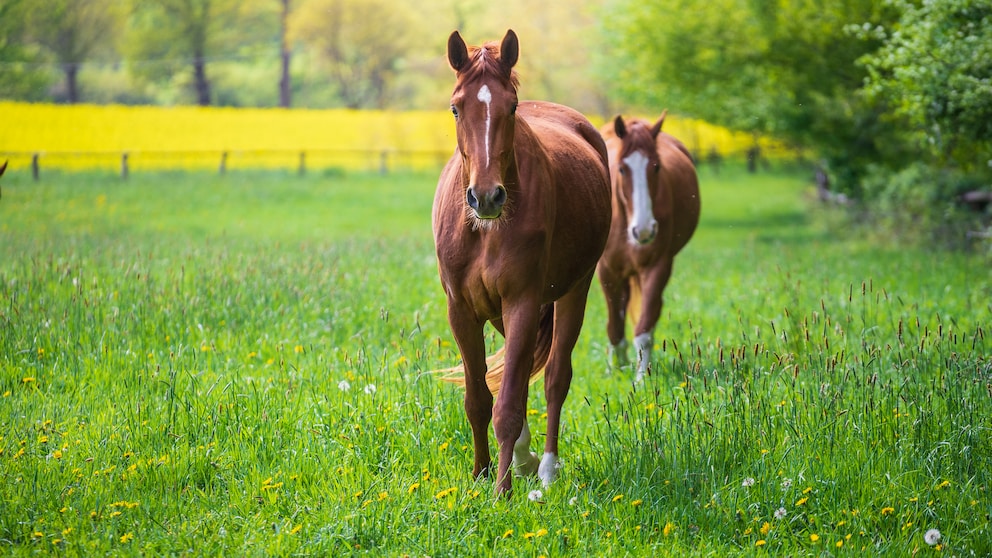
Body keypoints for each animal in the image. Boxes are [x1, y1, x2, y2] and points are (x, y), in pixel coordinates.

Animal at [434, 29, 612, 494]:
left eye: (511, 107)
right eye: (456, 107)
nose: (486, 197)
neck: (484, 231)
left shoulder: (523, 304)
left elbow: (510, 405)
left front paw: (501, 492)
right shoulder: (462, 311)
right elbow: (479, 399)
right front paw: (481, 474)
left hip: (574, 291)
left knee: (554, 378)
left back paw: (545, 468)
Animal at [596, 115, 696, 384]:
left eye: (656, 167)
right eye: (622, 168)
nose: (643, 231)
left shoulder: (657, 266)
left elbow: (644, 329)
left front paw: (641, 379)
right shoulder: (608, 271)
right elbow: (614, 327)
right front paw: (615, 370)